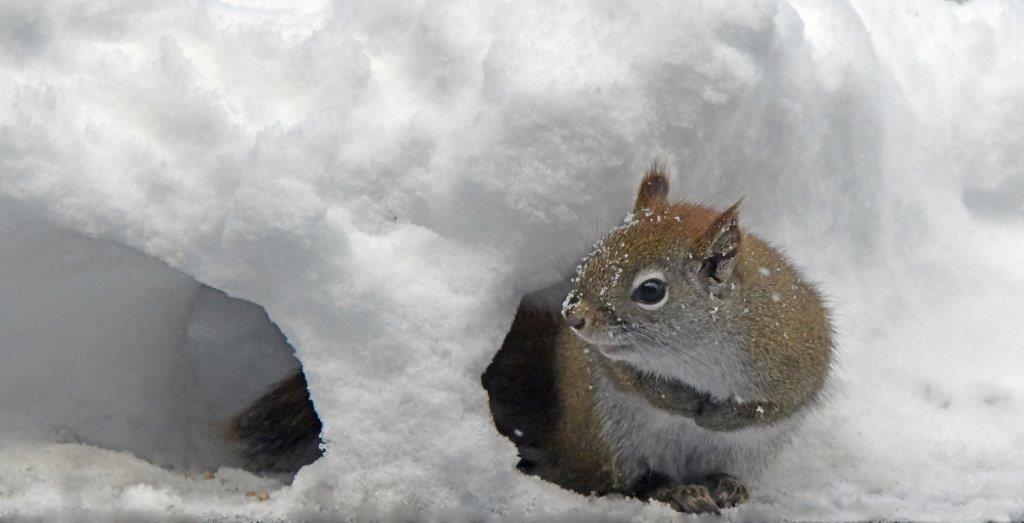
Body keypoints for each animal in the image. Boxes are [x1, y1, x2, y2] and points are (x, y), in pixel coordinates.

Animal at [482, 162, 833, 514]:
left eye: (651, 291)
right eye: (596, 254)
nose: (573, 316)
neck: (695, 351)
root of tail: (562, 443)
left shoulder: (797, 353)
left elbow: (778, 405)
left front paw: (720, 417)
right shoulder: (609, 359)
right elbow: (628, 377)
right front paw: (678, 400)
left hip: (744, 452)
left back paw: (727, 484)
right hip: (612, 440)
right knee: (627, 483)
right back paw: (678, 491)